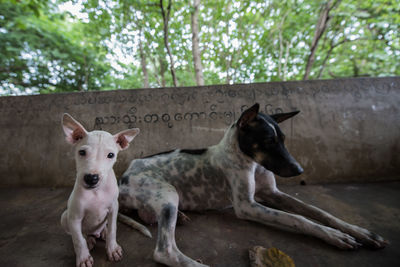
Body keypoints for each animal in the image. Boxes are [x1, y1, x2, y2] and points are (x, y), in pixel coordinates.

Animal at [119, 103, 388, 266]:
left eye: (284, 139)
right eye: (268, 141)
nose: (300, 170)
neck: (250, 161)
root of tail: (122, 178)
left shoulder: (272, 192)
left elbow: (318, 211)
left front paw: (359, 231)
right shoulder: (247, 206)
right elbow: (298, 219)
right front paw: (334, 236)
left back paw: (179, 216)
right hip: (168, 194)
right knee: (165, 251)